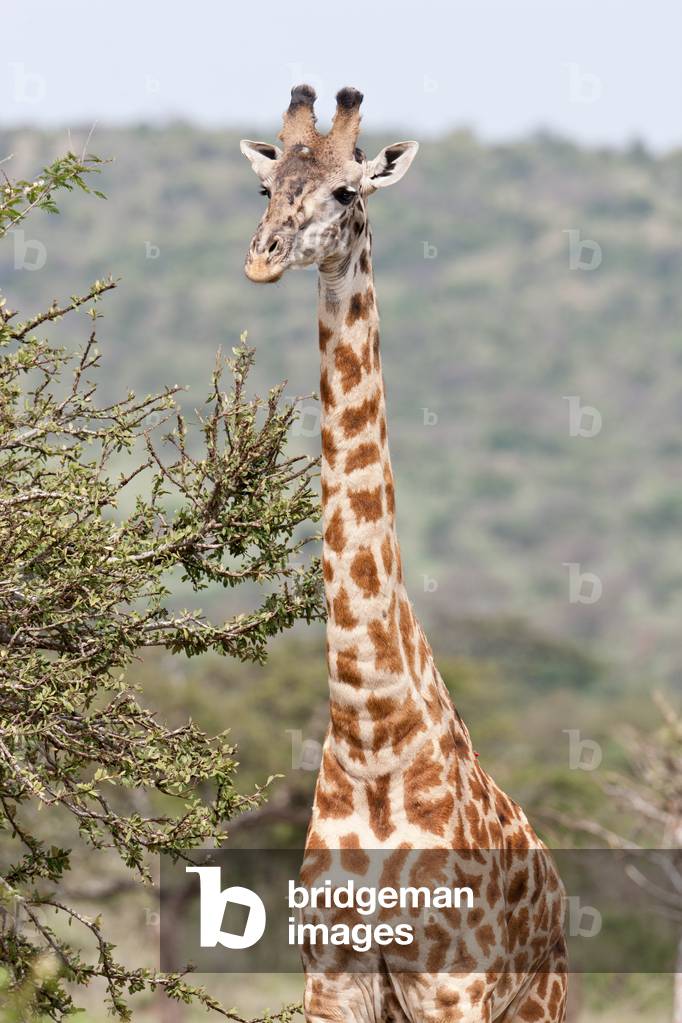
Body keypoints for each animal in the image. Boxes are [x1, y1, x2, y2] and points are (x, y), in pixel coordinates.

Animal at [241, 85, 568, 1023]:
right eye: (267, 187)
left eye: (348, 191)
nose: (263, 259)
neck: (370, 729)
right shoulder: (332, 975)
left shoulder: (452, 980)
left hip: (539, 999)